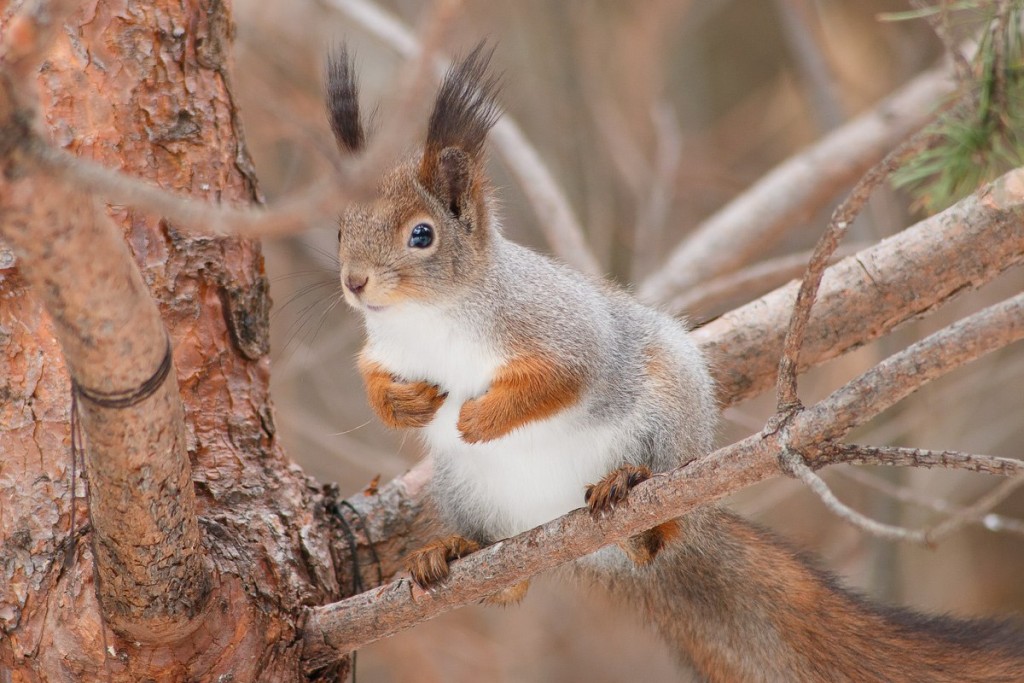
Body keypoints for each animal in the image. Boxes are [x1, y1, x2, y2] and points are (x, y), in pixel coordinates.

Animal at [325, 44, 1024, 683]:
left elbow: (563, 378)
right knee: (509, 583)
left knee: (659, 522)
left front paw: (481, 418)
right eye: (338, 229)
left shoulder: (561, 327)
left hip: (666, 414)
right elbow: (371, 378)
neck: (430, 318)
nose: (354, 283)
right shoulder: (384, 348)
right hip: (462, 487)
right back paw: (453, 551)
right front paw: (402, 404)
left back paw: (631, 496)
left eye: (422, 235)